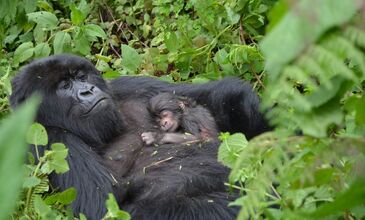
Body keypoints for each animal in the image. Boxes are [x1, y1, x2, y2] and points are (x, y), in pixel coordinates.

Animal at [9, 54, 268, 219]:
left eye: (81, 77)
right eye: (64, 85)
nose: (88, 91)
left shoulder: (122, 85)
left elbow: (213, 95)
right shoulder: (50, 138)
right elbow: (107, 205)